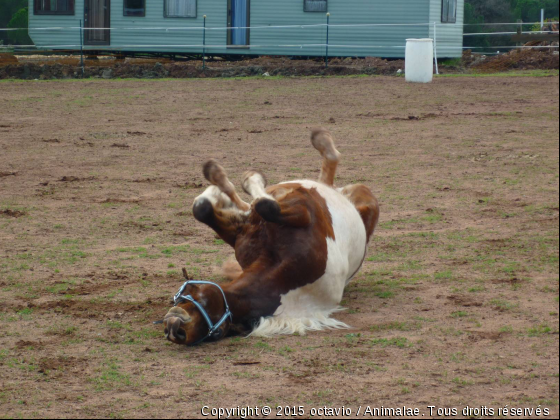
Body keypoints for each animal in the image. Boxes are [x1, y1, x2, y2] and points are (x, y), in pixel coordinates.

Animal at [163, 128, 380, 344]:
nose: (176, 332)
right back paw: (218, 177)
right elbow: (203, 209)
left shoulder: (303, 209)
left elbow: (266, 205)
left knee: (328, 164)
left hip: (361, 196)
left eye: (215, 330)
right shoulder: (243, 235)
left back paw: (321, 142)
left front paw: (248, 180)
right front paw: (219, 193)